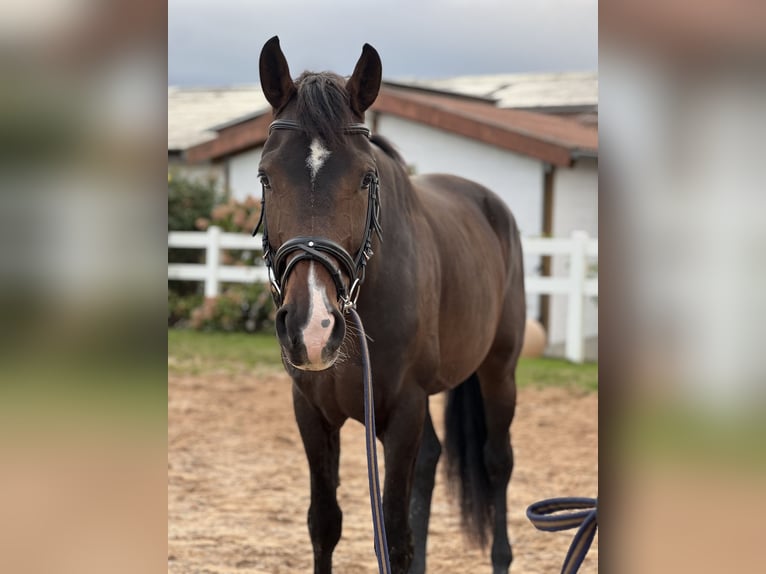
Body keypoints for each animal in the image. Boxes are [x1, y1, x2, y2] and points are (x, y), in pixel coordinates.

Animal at [258, 37, 528, 574]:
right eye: (265, 177)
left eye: (366, 179)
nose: (313, 328)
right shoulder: (311, 413)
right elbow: (325, 523)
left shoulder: (403, 412)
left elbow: (395, 536)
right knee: (433, 459)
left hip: (498, 370)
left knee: (497, 461)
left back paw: (501, 556)